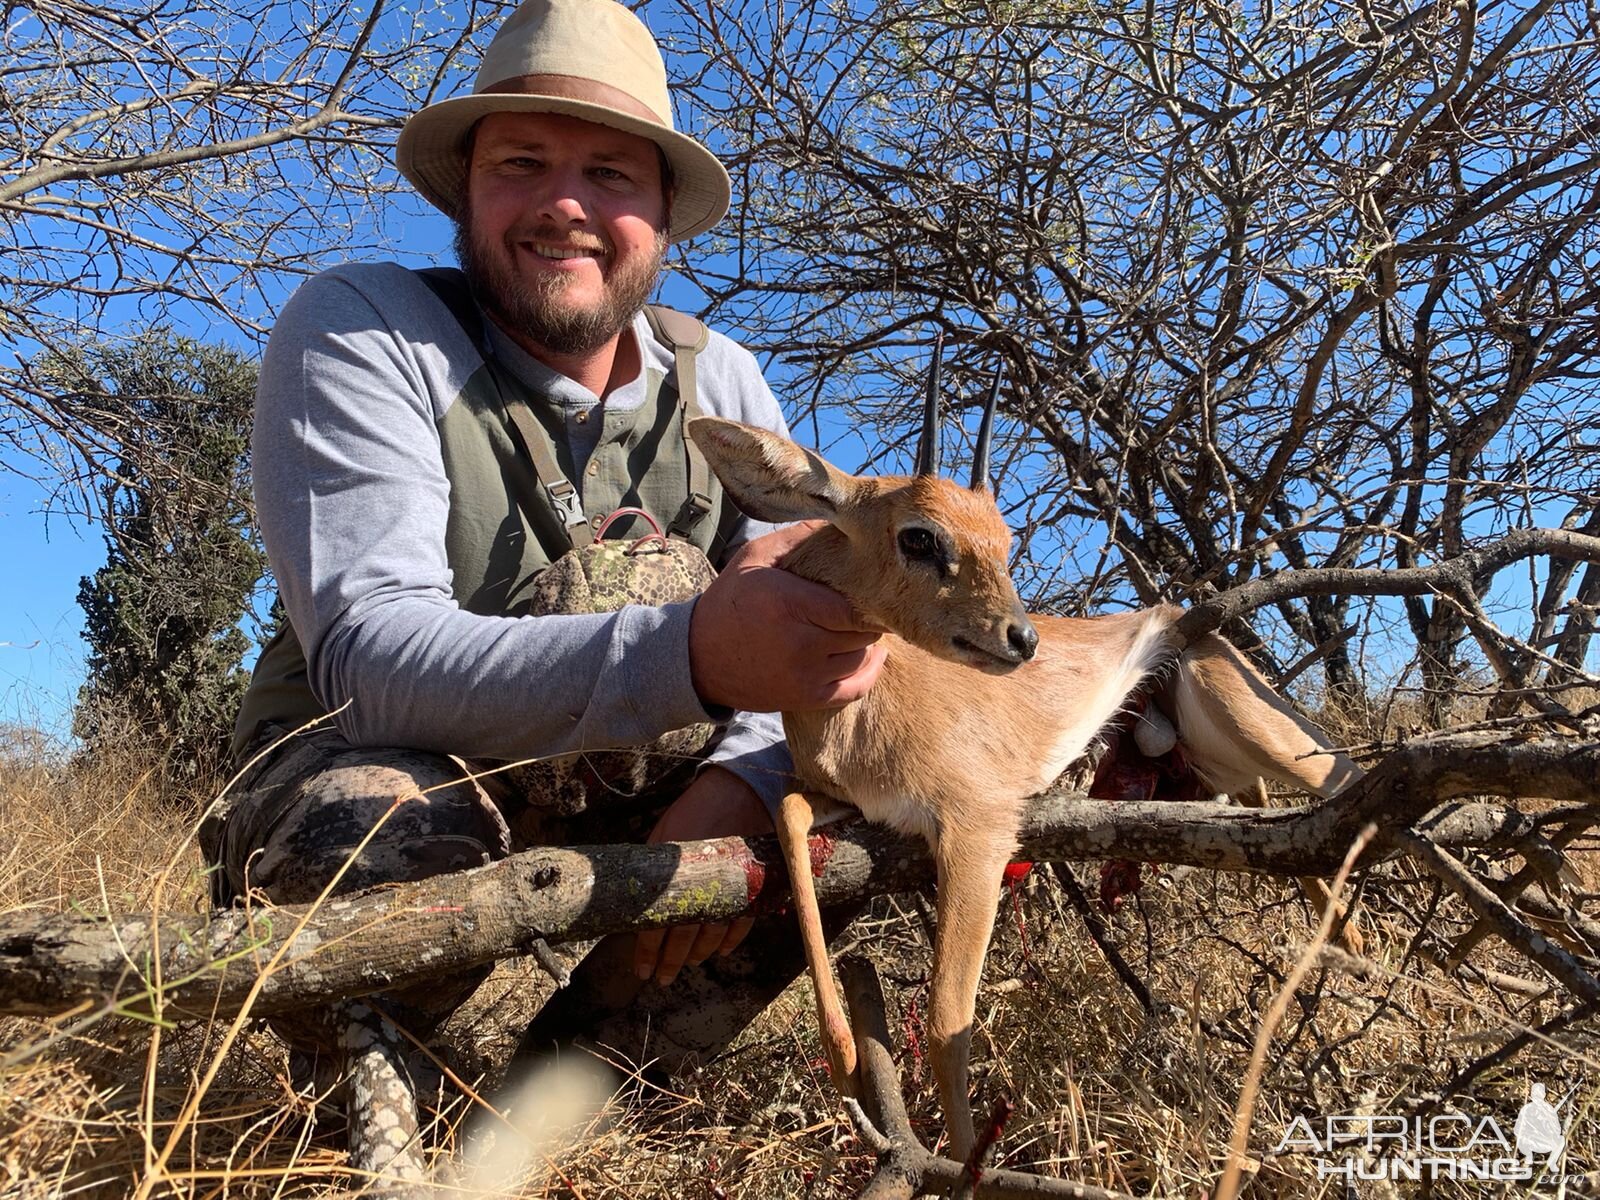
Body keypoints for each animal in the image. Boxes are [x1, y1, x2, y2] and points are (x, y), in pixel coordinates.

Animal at [684, 361, 1363, 1158]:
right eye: (920, 537)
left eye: (1005, 540)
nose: (1022, 638)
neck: (858, 717)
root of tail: (1173, 618)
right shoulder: (848, 805)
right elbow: (787, 816)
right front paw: (847, 1056)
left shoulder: (977, 830)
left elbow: (948, 1021)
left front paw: (960, 1161)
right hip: (1218, 761)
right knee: (1281, 821)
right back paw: (1346, 944)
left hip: (1267, 731)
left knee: (1355, 786)